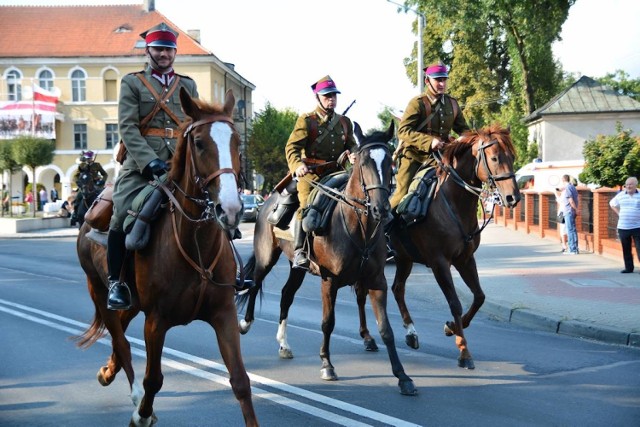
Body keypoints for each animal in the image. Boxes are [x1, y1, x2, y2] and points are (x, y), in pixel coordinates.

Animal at [73, 88, 258, 426]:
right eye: (199, 143)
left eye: (237, 141)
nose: (231, 208)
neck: (195, 244)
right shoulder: (156, 322)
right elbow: (153, 379)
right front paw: (142, 414)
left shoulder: (224, 315)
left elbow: (240, 381)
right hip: (100, 290)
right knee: (120, 339)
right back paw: (131, 393)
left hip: (133, 302)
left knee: (120, 332)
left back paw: (108, 371)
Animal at [238, 122, 418, 396]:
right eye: (364, 162)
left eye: (390, 162)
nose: (382, 209)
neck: (358, 226)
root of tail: (268, 202)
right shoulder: (329, 281)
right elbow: (327, 323)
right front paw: (327, 365)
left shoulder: (377, 281)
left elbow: (386, 329)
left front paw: (402, 376)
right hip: (266, 256)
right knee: (255, 283)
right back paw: (245, 323)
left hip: (296, 268)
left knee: (286, 295)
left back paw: (284, 344)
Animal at [368, 124, 524, 372]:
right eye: (495, 158)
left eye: (512, 156)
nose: (512, 197)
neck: (452, 203)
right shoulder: (439, 263)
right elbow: (455, 303)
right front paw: (464, 351)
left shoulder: (465, 259)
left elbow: (479, 297)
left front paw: (451, 327)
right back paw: (368, 338)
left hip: (404, 259)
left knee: (397, 289)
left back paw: (410, 333)